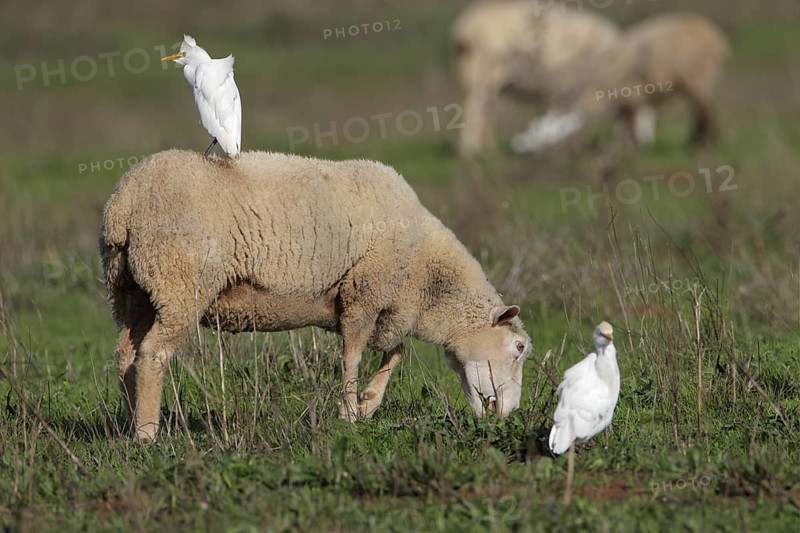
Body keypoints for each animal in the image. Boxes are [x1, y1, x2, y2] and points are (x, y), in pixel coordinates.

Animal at [100, 150, 533, 442]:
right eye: (518, 348)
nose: (510, 413)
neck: (424, 271)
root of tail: (124, 204)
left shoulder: (375, 307)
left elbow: (395, 351)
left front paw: (368, 402)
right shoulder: (364, 291)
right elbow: (353, 356)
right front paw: (350, 413)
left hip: (132, 292)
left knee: (125, 355)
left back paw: (129, 421)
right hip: (179, 284)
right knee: (153, 355)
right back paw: (148, 433)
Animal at [452, 0, 621, 157]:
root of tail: (465, 26)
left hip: (481, 74)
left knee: (485, 109)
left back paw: (490, 152)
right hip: (484, 69)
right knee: (475, 107)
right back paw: (471, 150)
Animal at [511, 12, 729, 153]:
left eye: (544, 136)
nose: (516, 148)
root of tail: (708, 28)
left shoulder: (630, 93)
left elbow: (631, 121)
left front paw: (633, 146)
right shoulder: (623, 100)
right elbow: (624, 121)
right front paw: (626, 144)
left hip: (699, 77)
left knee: (705, 109)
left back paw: (703, 143)